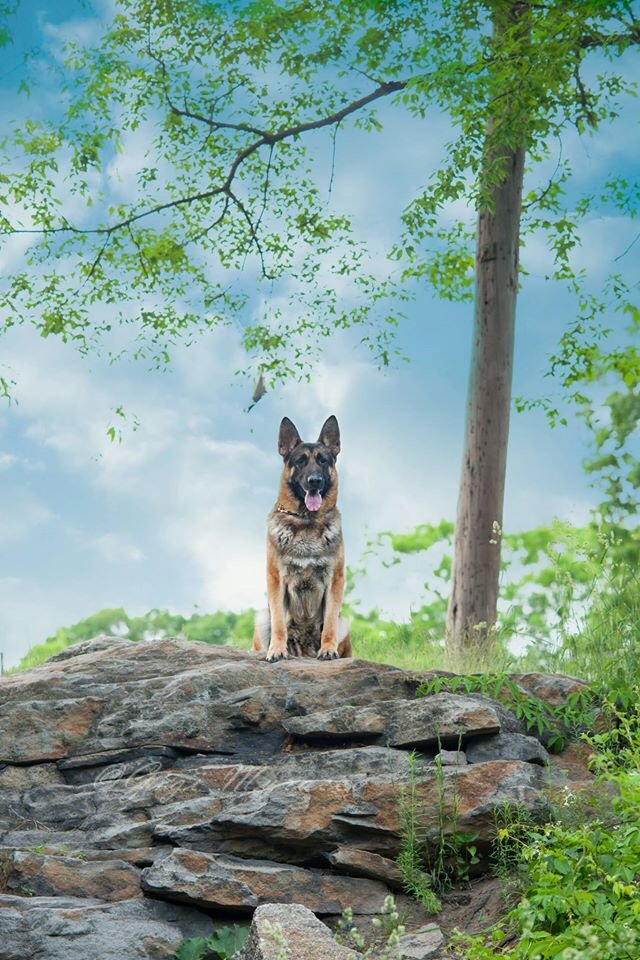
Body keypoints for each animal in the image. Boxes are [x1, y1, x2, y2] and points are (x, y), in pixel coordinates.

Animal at [252, 416, 352, 664]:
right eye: (300, 461)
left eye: (323, 461)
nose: (314, 481)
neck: (306, 521)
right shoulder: (276, 580)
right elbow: (279, 622)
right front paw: (277, 650)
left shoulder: (335, 580)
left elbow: (329, 623)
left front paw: (328, 649)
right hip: (261, 618)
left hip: (346, 622)